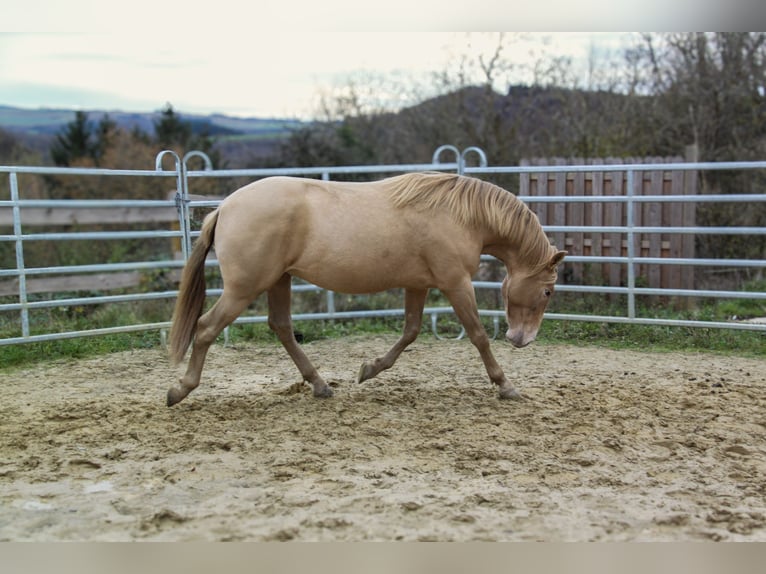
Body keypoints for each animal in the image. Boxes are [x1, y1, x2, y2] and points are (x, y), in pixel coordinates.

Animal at [166, 173, 564, 408]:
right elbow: (478, 335)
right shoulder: (456, 283)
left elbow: (410, 332)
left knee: (281, 326)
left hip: (278, 280)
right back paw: (180, 389)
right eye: (547, 293)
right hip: (245, 288)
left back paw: (320, 385)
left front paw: (369, 369)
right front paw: (505, 385)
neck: (461, 216)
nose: (521, 339)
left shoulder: (418, 284)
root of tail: (224, 208)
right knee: (206, 328)